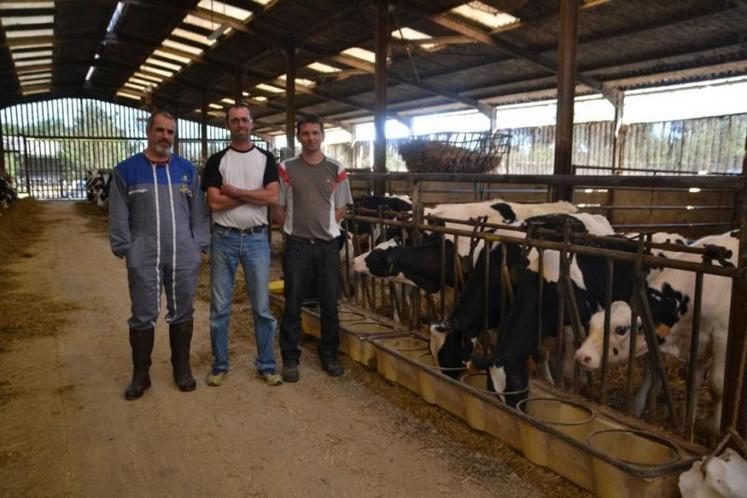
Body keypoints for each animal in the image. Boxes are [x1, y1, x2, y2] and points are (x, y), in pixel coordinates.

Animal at [576, 231, 740, 438]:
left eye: (620, 329)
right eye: (592, 322)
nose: (582, 356)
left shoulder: (722, 335)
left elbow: (717, 384)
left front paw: (716, 429)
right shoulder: (696, 342)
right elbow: (677, 377)